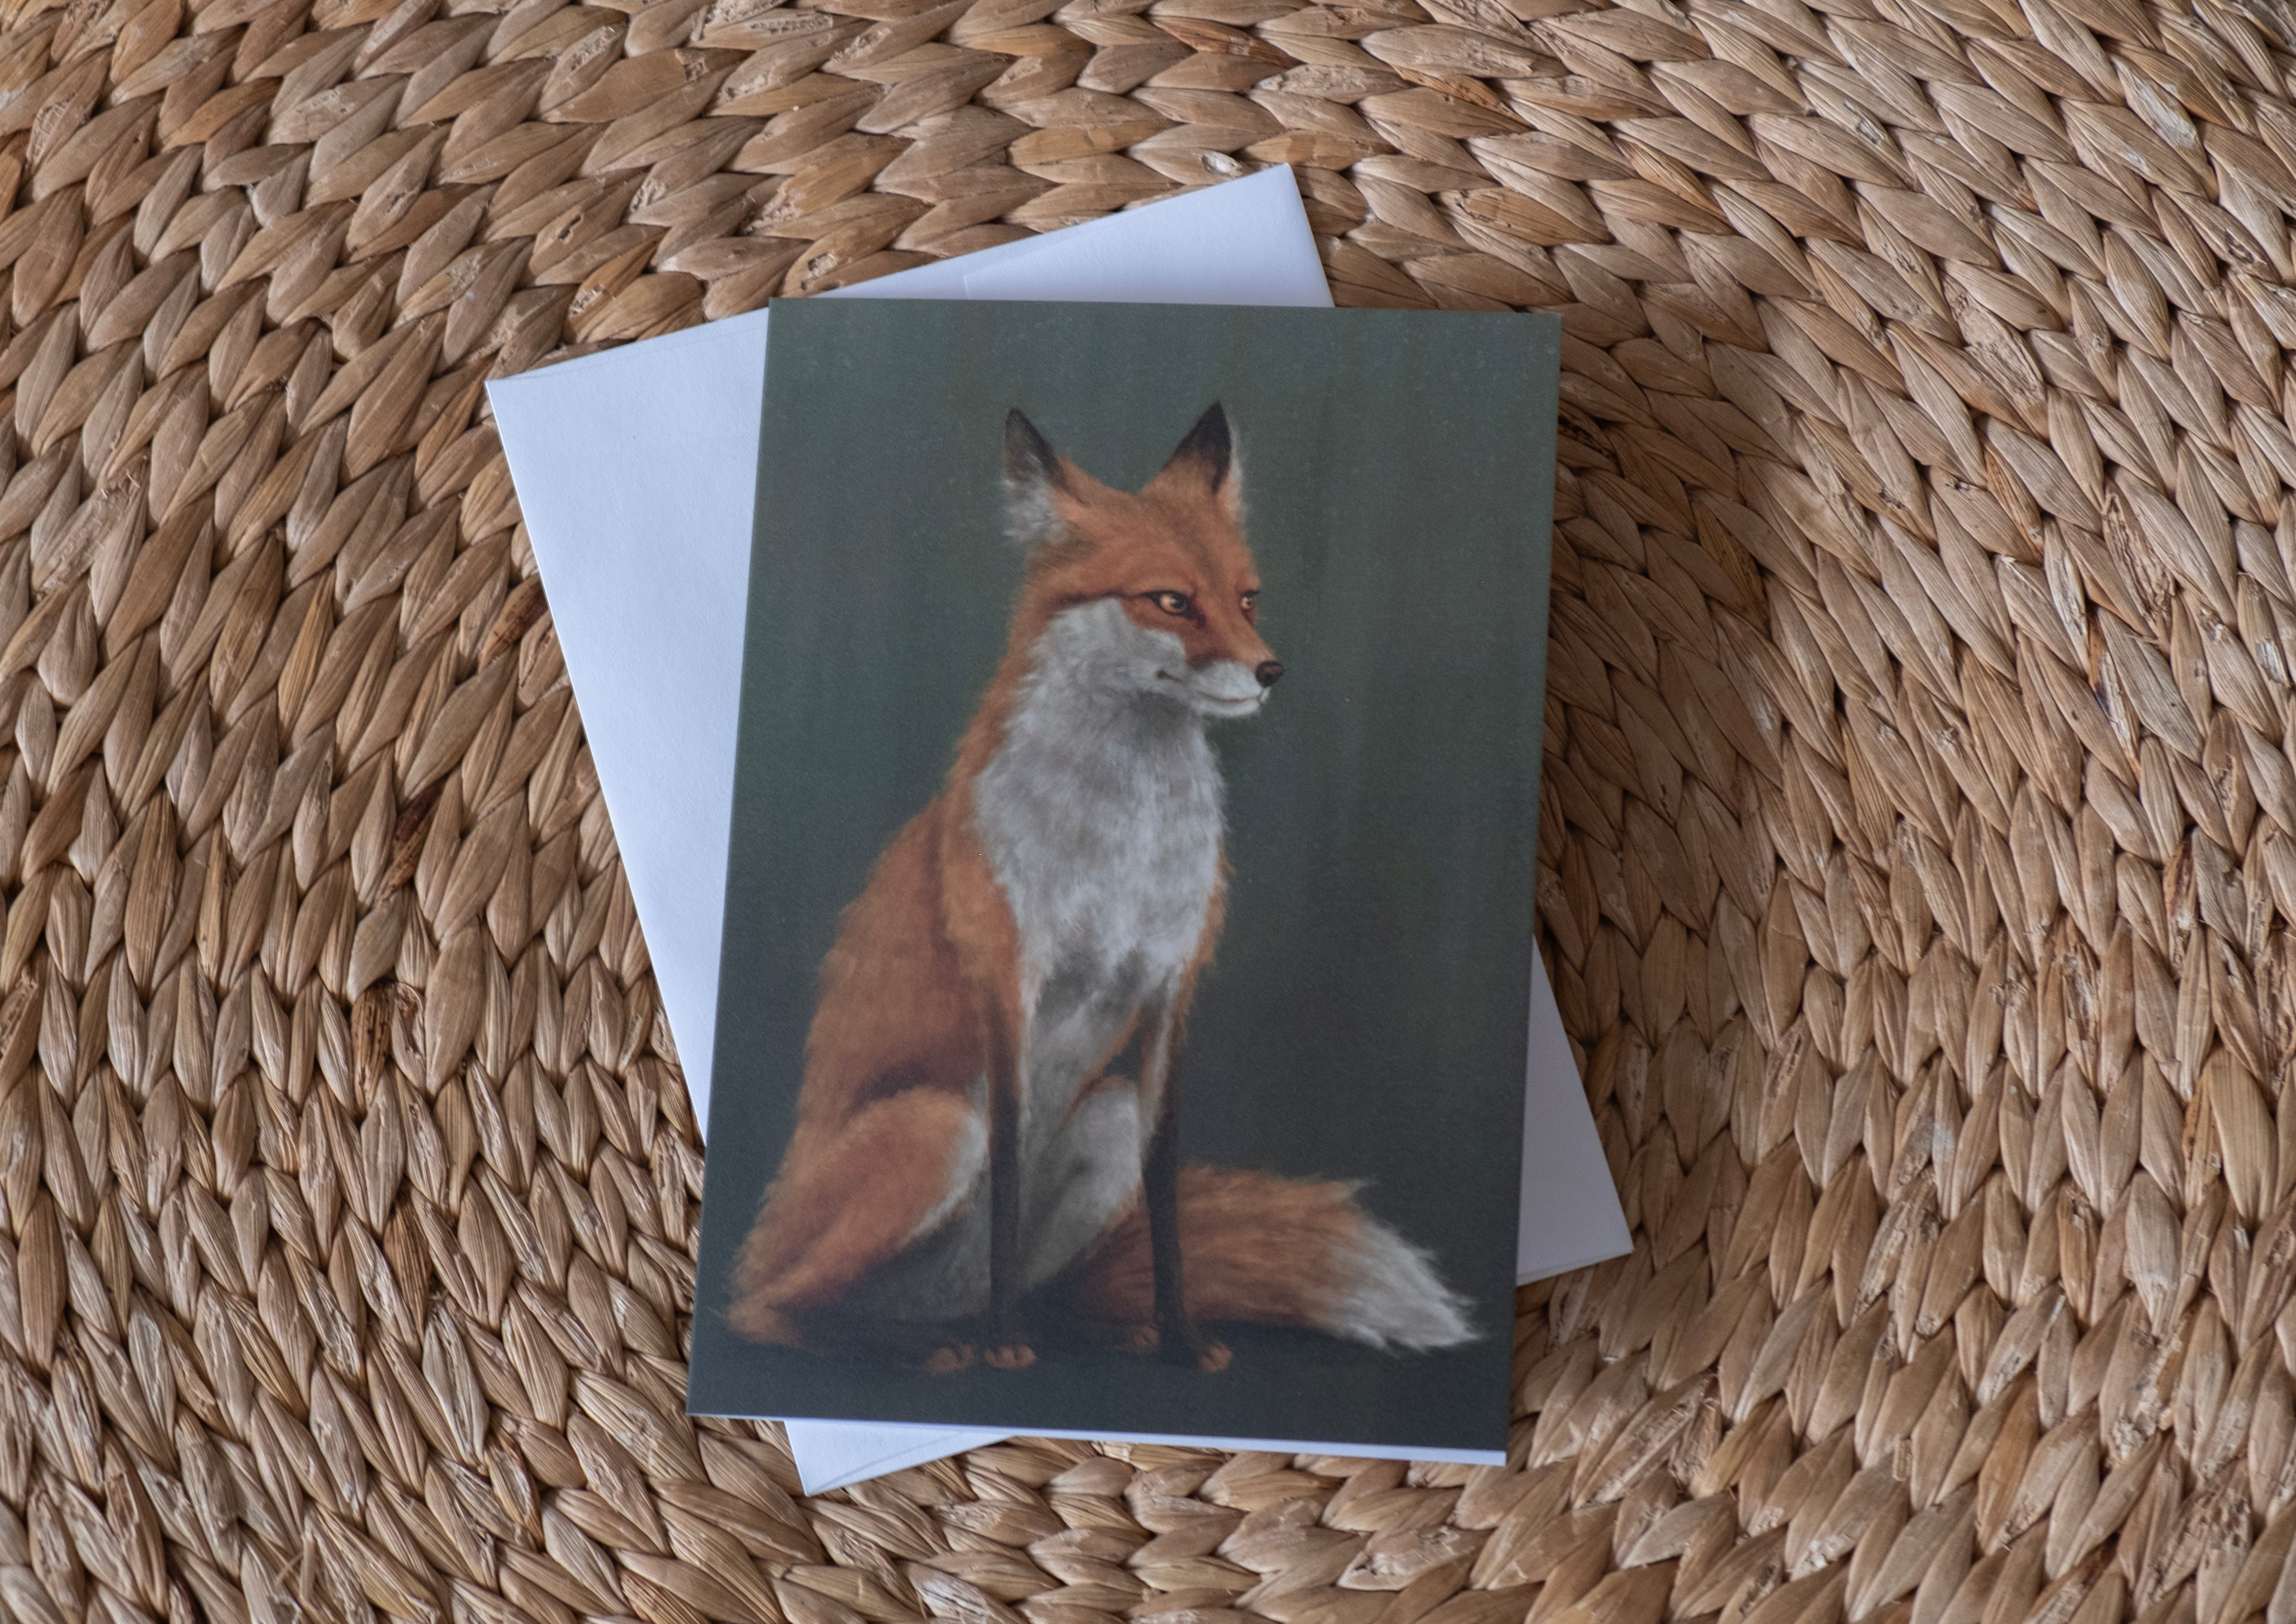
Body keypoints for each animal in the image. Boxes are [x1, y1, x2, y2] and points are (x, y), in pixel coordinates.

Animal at [726, 402, 1476, 1371]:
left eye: (1247, 598)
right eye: (1171, 601)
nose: (1271, 671)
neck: (1123, 845)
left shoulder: (1170, 988)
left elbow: (1165, 1192)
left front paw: (1182, 1335)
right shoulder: (1010, 980)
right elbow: (1009, 1161)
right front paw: (1009, 1347)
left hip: (1102, 1121)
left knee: (1035, 1284)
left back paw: (1091, 1326)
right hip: (935, 1130)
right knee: (773, 1310)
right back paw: (934, 1344)